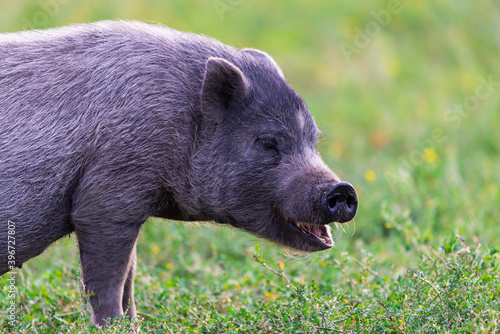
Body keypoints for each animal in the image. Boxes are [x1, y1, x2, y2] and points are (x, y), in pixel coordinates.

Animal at [0, 20, 360, 324]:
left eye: (313, 140)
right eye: (268, 142)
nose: (342, 189)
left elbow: (129, 277)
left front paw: (134, 324)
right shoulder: (107, 199)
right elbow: (109, 280)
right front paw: (114, 325)